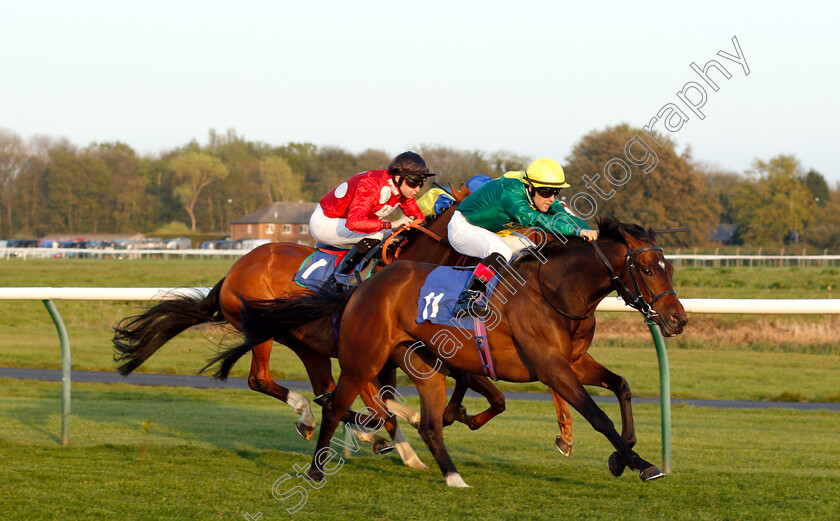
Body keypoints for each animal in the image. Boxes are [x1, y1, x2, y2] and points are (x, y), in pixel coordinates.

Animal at [240, 215, 684, 484]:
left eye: (671, 268)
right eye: (647, 270)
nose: (677, 319)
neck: (555, 291)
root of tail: (362, 286)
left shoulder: (574, 360)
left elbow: (621, 386)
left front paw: (622, 455)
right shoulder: (550, 366)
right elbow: (597, 416)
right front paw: (641, 464)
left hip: (406, 358)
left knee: (372, 402)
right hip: (362, 356)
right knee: (336, 399)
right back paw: (326, 460)